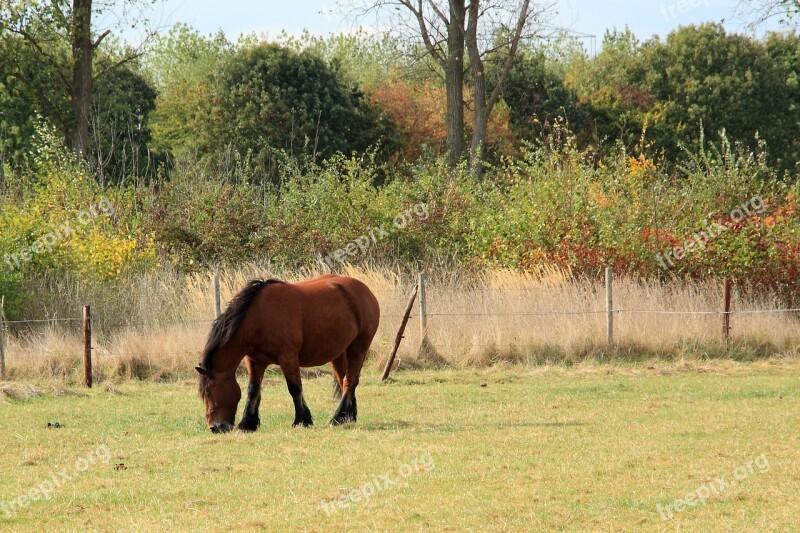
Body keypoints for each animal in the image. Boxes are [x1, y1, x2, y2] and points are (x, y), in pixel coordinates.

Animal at [195, 274, 380, 432]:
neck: (259, 317)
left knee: (350, 380)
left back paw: (338, 417)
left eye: (209, 392)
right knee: (344, 380)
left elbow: (295, 388)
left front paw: (301, 420)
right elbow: (253, 389)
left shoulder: (288, 357)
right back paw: (347, 416)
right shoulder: (254, 361)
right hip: (338, 354)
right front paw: (247, 423)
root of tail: (365, 290)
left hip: (358, 347)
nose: (215, 427)